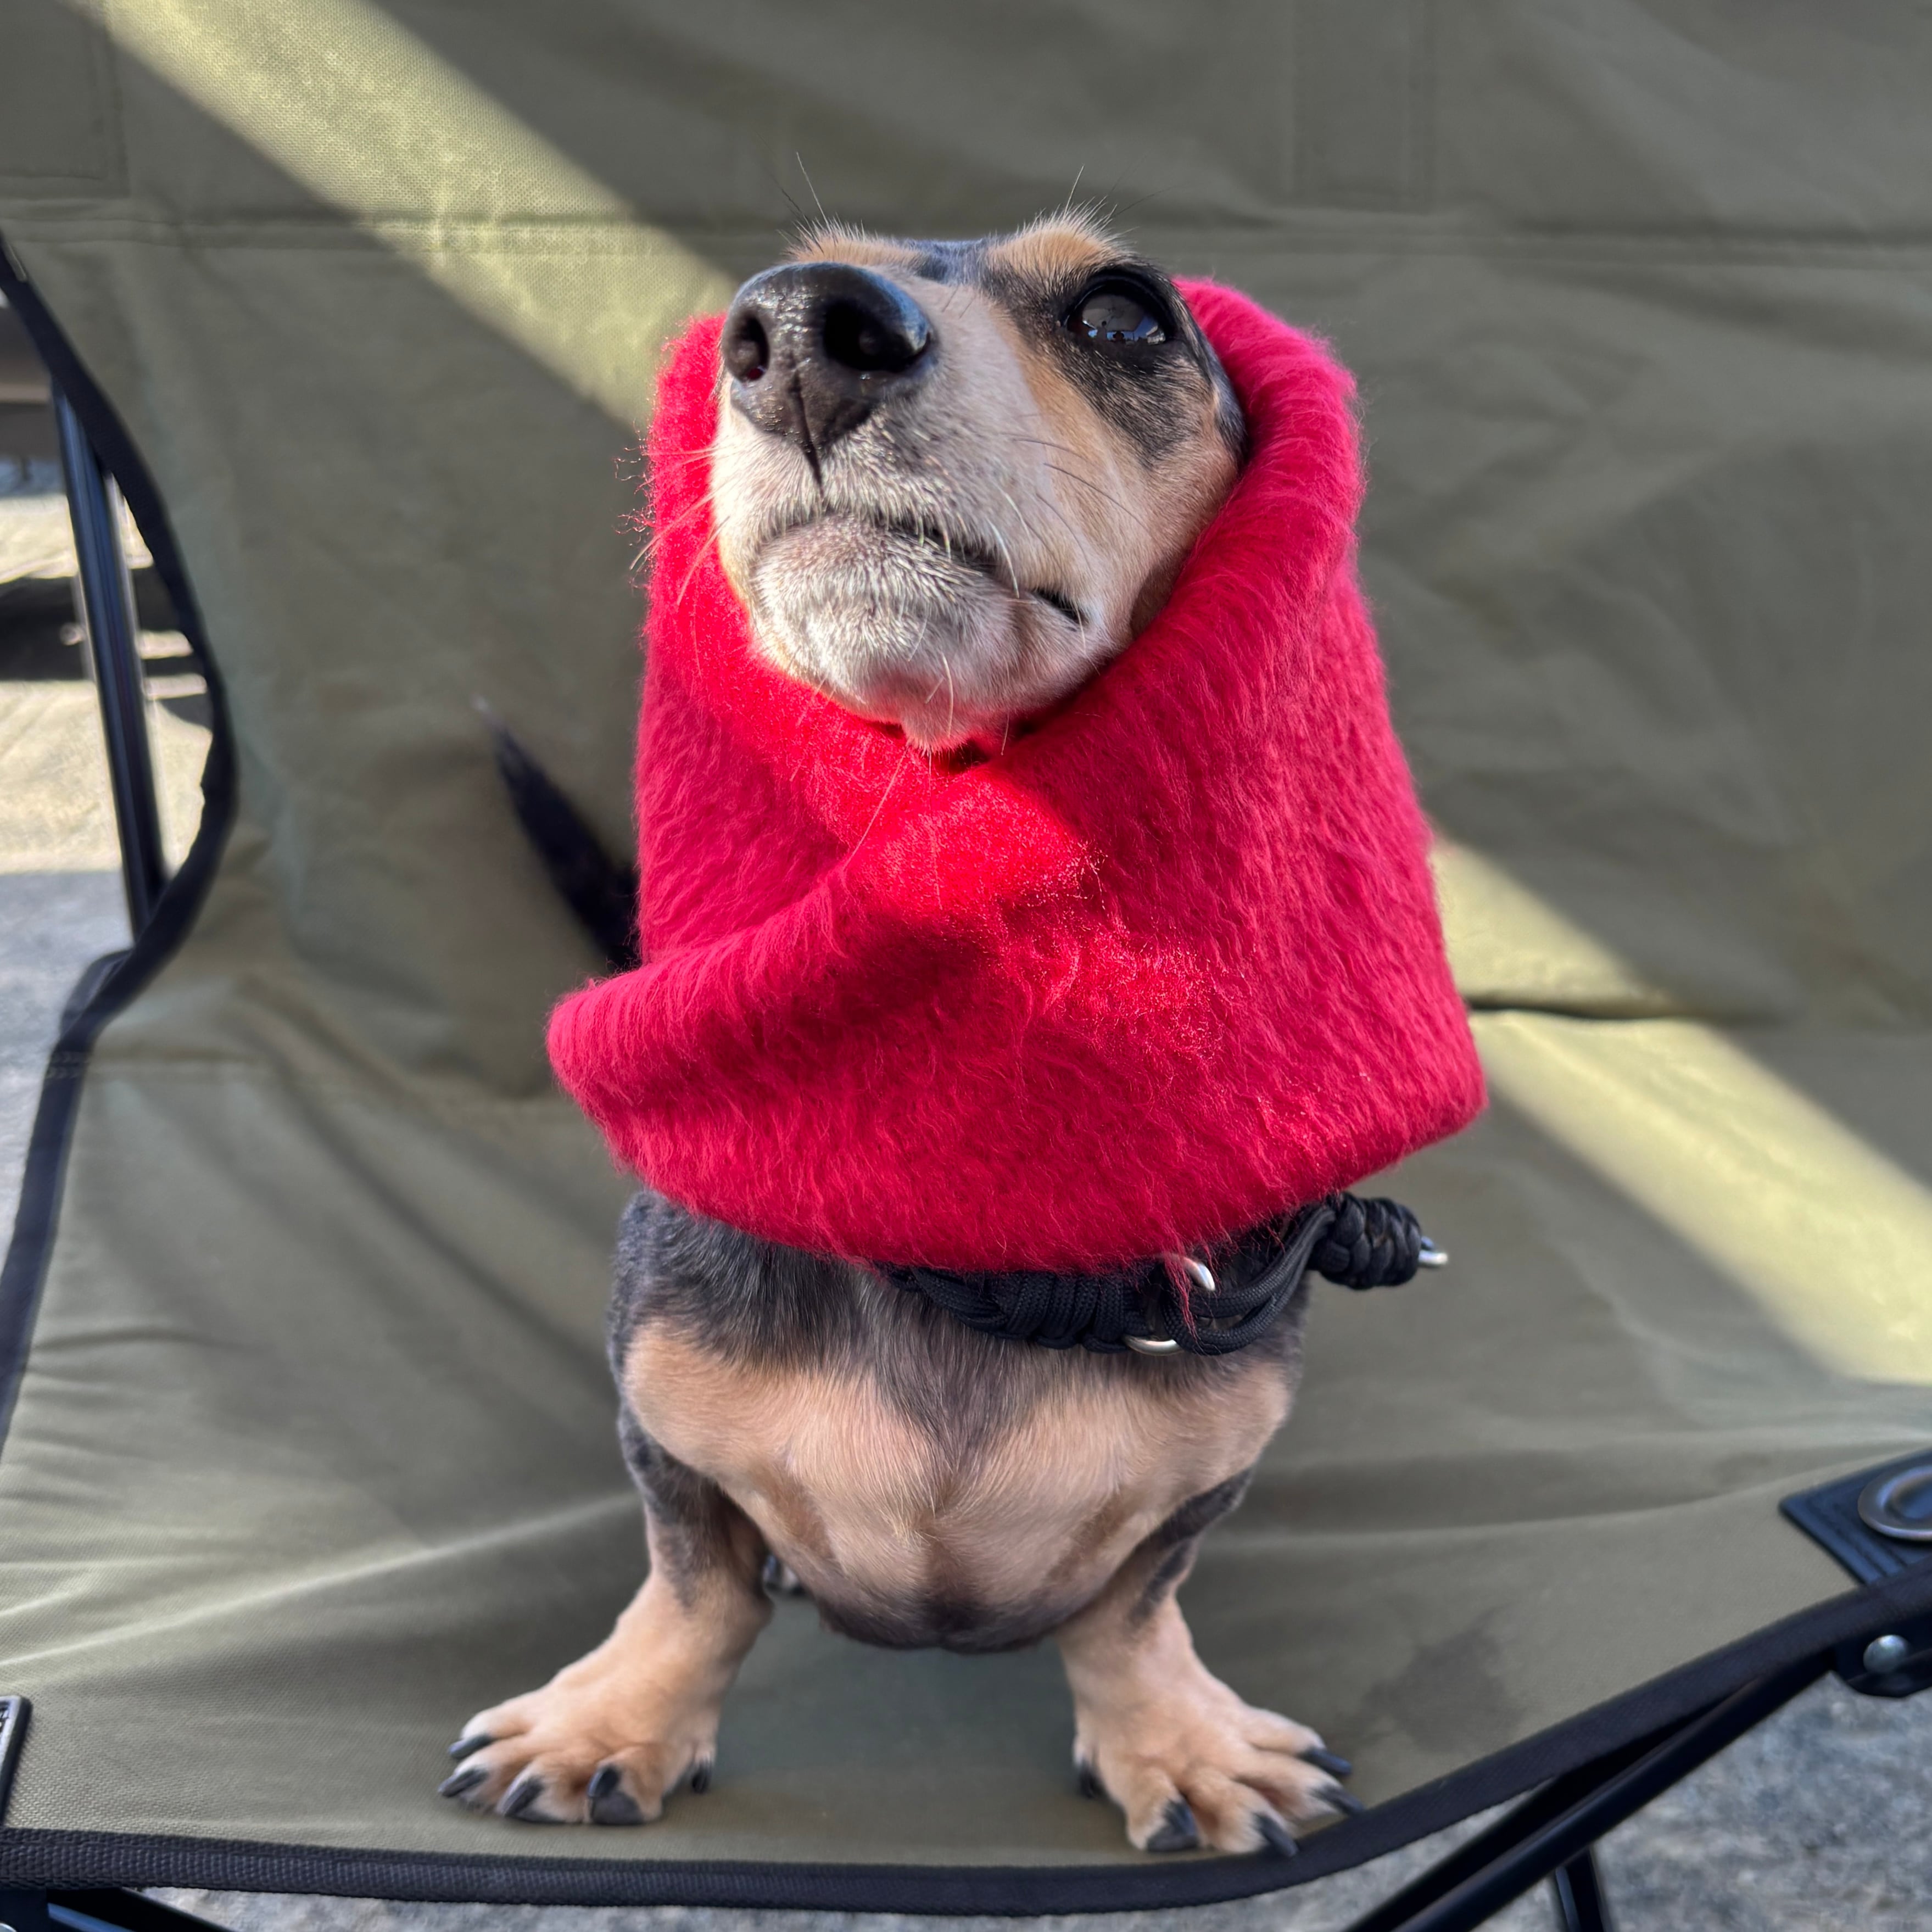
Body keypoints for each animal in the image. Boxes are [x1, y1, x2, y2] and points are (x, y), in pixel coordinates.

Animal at [442, 216, 1366, 1857]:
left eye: (1123, 314)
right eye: (763, 297)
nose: (803, 335)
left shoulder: (1206, 1473)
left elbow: (1131, 1606)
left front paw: (1176, 1735)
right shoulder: (664, 1425)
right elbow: (693, 1579)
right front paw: (617, 1712)